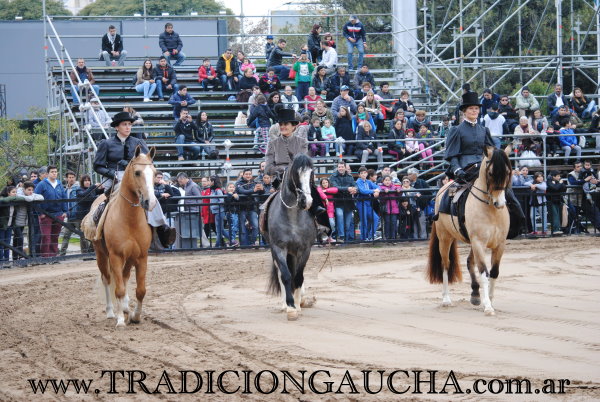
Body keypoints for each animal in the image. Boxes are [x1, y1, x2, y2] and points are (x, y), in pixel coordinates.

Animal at [82, 146, 158, 328]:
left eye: (155, 172)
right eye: (137, 172)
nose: (150, 202)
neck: (129, 220)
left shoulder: (141, 257)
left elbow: (140, 290)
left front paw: (135, 315)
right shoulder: (115, 256)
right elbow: (119, 289)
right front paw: (121, 319)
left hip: (129, 258)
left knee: (124, 277)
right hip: (102, 256)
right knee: (108, 279)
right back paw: (111, 312)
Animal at [264, 153, 316, 320]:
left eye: (311, 173)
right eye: (295, 173)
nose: (307, 201)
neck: (293, 218)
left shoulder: (305, 250)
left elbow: (298, 276)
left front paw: (298, 304)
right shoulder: (279, 248)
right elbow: (286, 276)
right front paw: (290, 307)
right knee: (282, 274)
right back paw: (285, 303)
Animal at [426, 146, 510, 316]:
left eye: (507, 172)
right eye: (491, 173)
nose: (499, 203)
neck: (491, 210)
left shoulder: (499, 245)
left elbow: (494, 272)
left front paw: (490, 300)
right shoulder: (478, 243)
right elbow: (484, 272)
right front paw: (488, 306)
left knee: (469, 262)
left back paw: (475, 294)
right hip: (445, 239)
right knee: (446, 264)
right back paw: (446, 299)